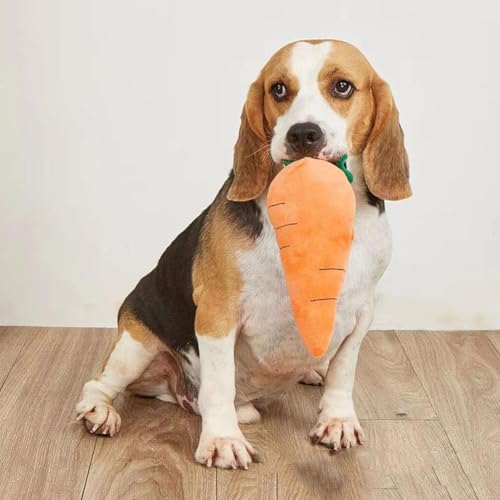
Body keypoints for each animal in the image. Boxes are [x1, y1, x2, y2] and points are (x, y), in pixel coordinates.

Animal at [75, 39, 410, 468]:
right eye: (278, 89)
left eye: (343, 87)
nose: (303, 134)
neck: (314, 209)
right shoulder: (218, 313)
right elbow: (219, 384)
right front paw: (222, 439)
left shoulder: (362, 311)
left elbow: (344, 370)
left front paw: (337, 420)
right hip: (135, 346)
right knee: (99, 384)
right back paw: (101, 412)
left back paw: (310, 372)